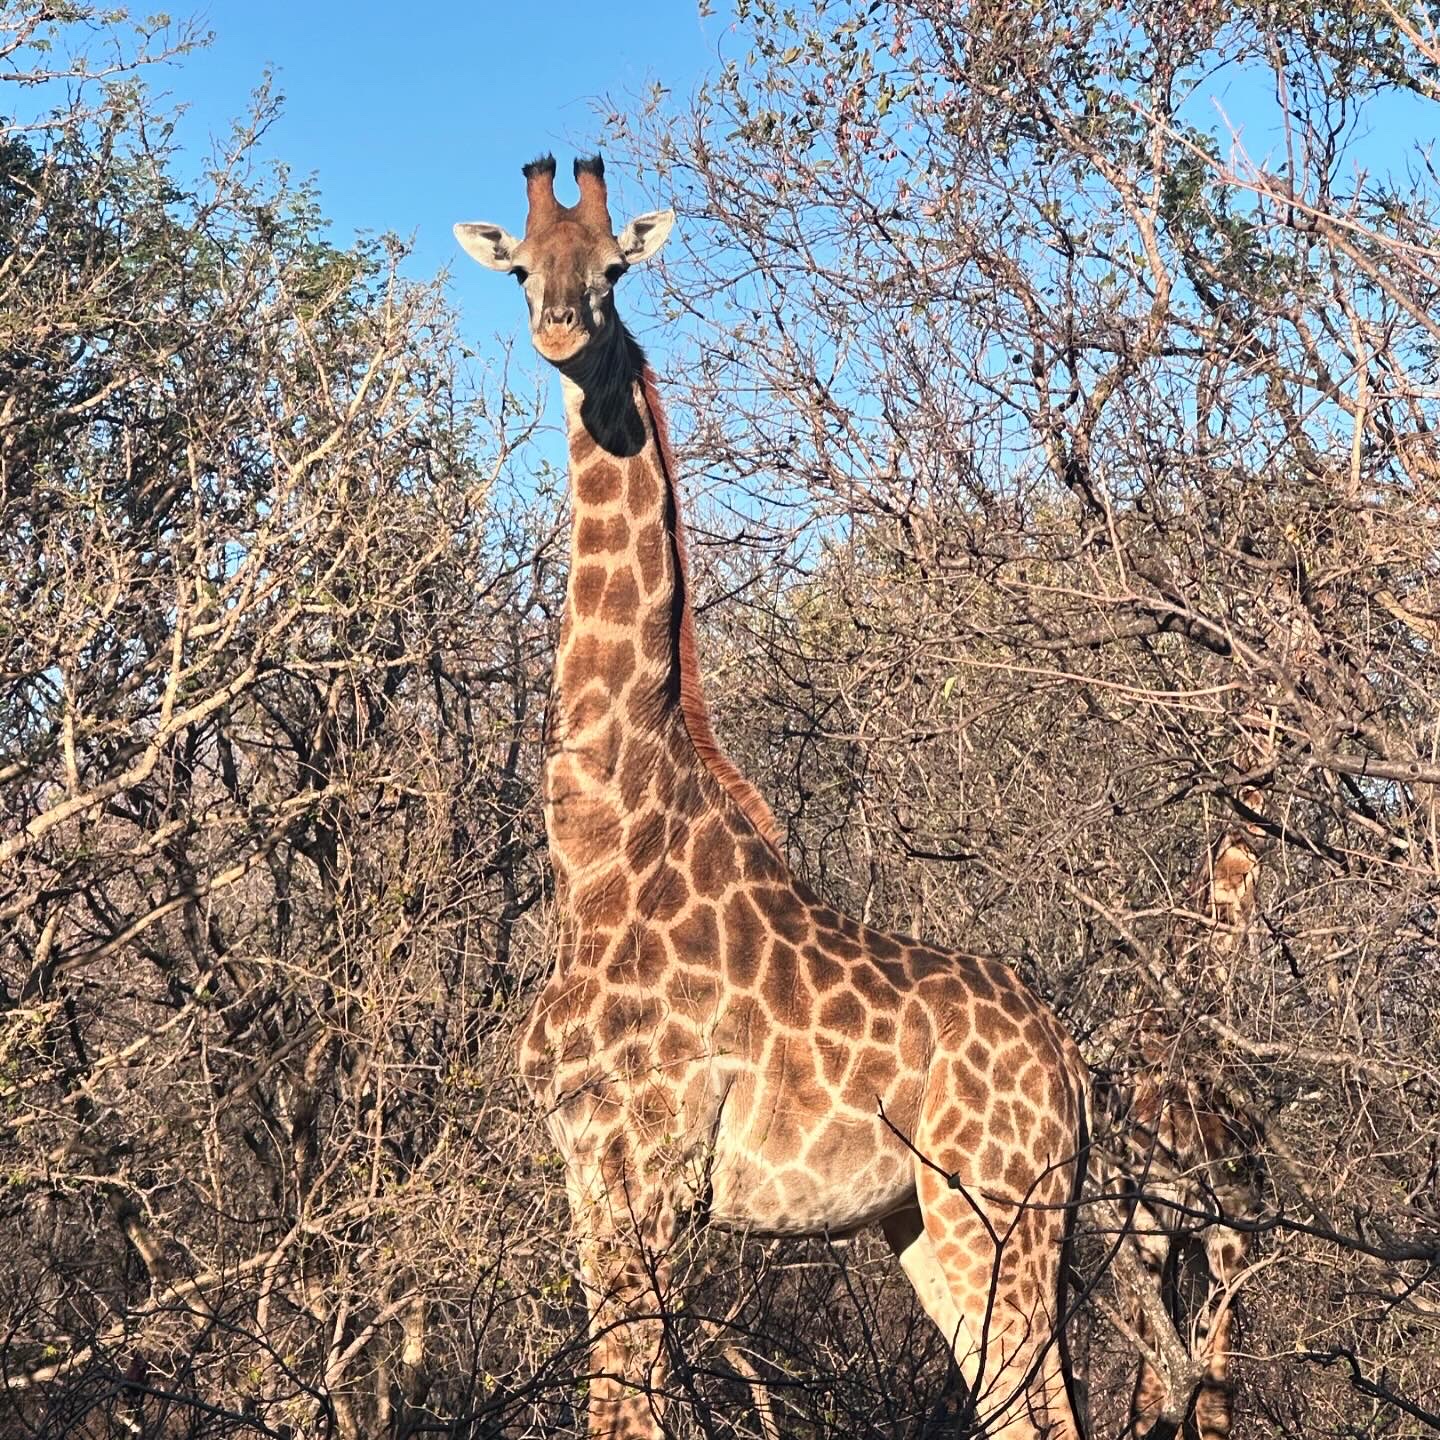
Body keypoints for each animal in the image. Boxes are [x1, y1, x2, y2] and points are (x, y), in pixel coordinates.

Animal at [455, 154, 1091, 1440]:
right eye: (521, 270)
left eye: (614, 268)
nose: (561, 331)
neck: (600, 845)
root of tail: (1073, 1067)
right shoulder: (584, 1160)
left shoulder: (653, 1163)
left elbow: (629, 1404)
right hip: (924, 1223)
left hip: (997, 1207)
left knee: (1039, 1404)